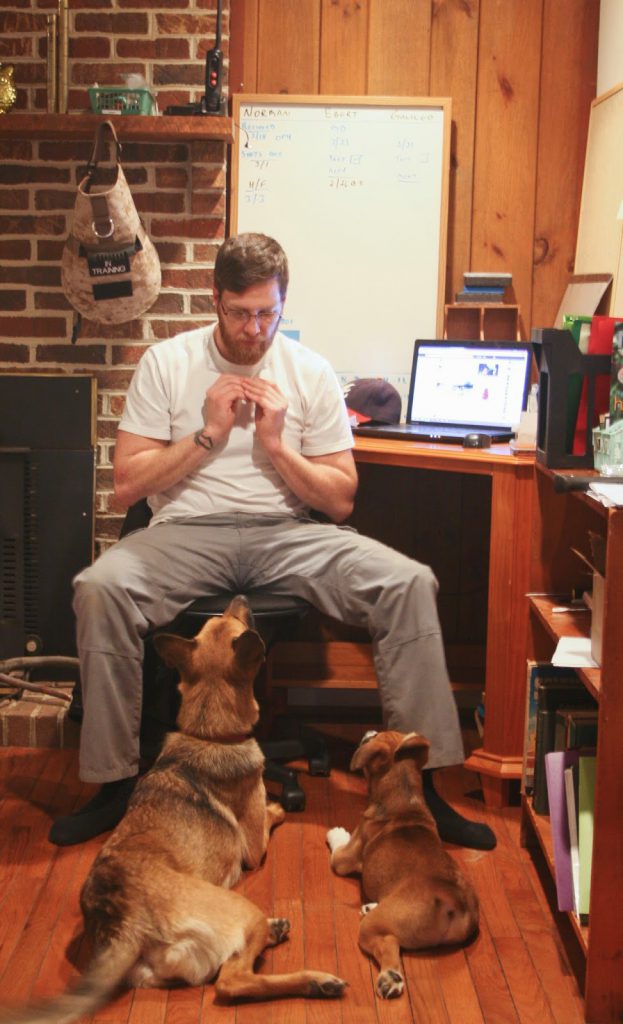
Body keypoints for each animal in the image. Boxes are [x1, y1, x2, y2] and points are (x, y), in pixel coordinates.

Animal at [0, 598, 346, 1019]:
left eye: (218, 622)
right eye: (231, 621)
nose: (241, 598)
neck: (208, 733)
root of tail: (123, 926)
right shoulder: (254, 848)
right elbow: (268, 815)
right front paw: (279, 804)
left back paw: (280, 934)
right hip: (240, 908)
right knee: (233, 983)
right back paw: (316, 981)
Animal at [327, 729, 479, 999]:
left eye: (373, 737)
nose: (369, 732)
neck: (405, 801)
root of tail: (452, 898)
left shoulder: (346, 856)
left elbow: (338, 848)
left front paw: (336, 832)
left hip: (371, 929)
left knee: (388, 947)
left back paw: (390, 979)